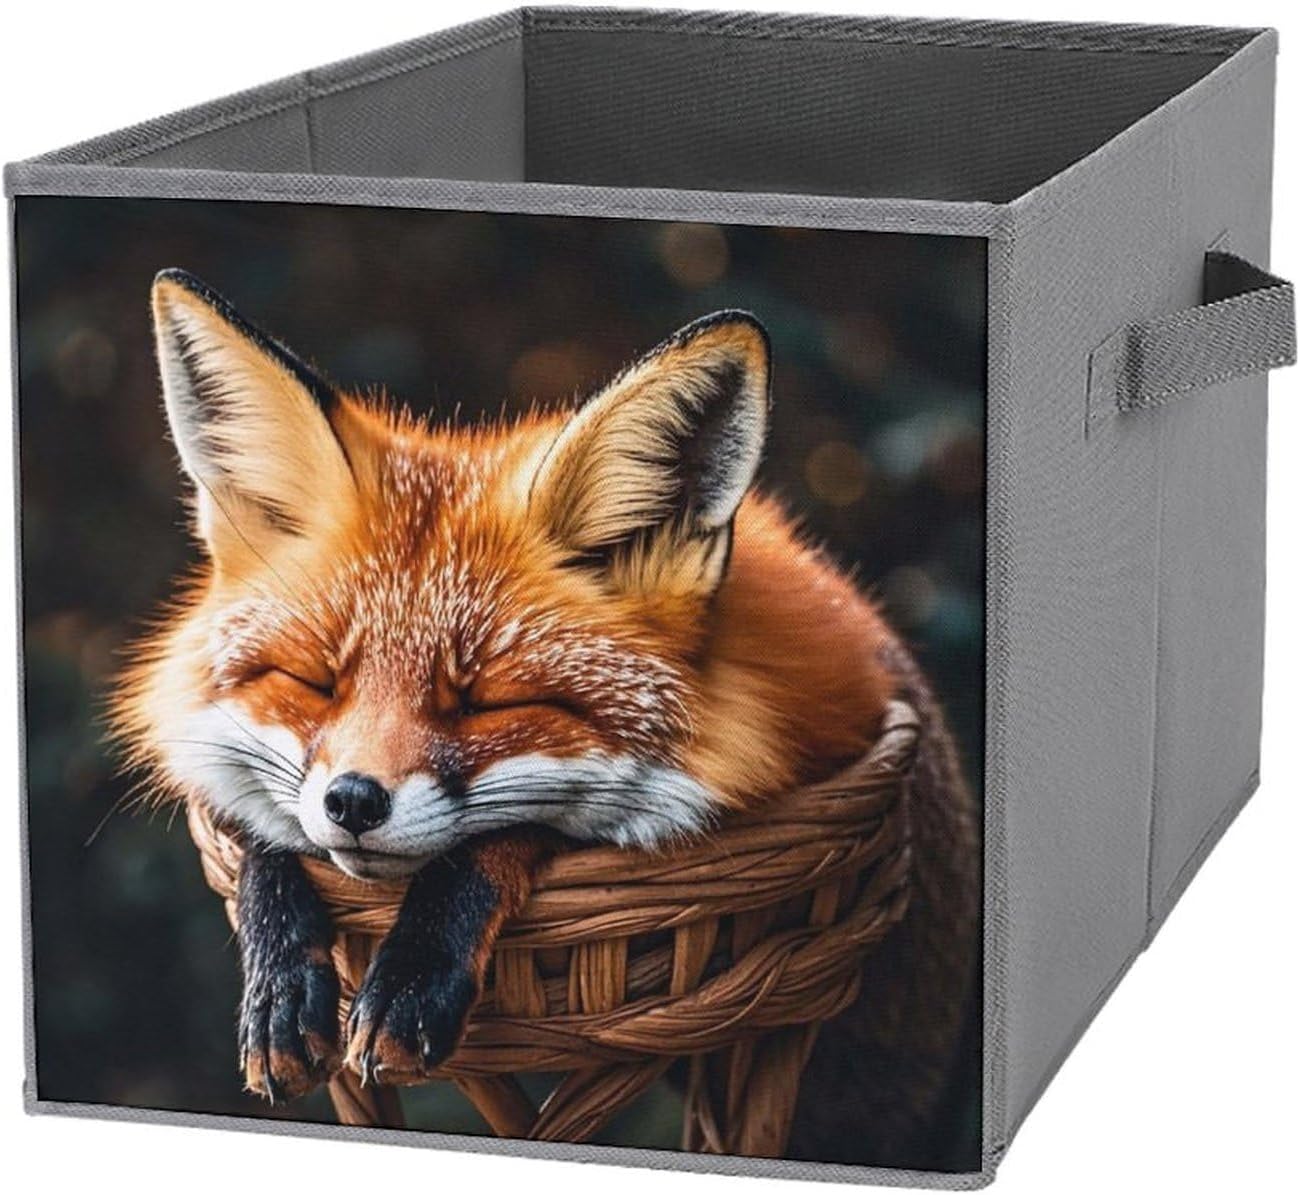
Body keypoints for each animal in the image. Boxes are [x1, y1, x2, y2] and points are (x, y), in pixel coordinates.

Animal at [111, 268, 978, 1168]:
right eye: (314, 682)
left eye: (488, 702)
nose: (351, 801)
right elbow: (268, 834)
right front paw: (282, 979)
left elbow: (505, 832)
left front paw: (413, 972)